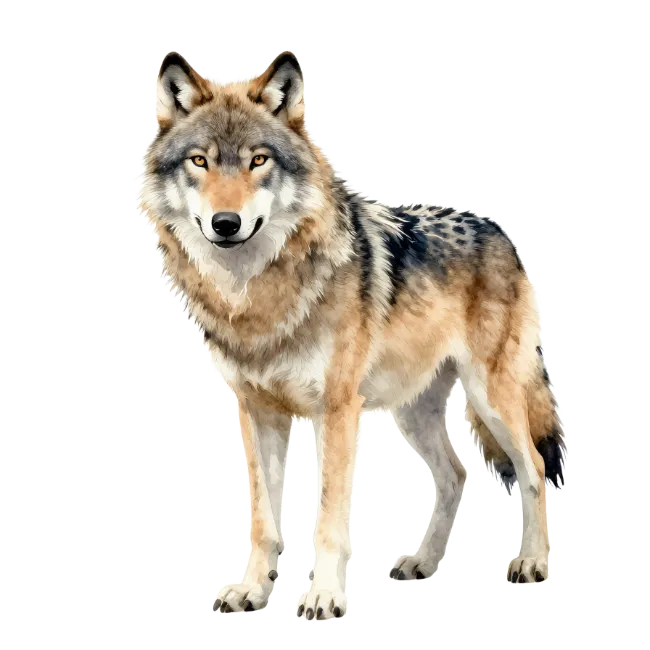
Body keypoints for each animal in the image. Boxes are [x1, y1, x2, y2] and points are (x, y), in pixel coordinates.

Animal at [138, 50, 567, 619]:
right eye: (200, 162)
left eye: (258, 161)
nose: (225, 223)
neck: (257, 297)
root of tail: (500, 231)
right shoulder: (256, 410)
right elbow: (263, 520)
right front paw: (252, 589)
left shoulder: (336, 410)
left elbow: (328, 519)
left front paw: (324, 596)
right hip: (413, 411)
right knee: (456, 474)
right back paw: (421, 563)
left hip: (490, 395)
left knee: (534, 467)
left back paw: (533, 562)